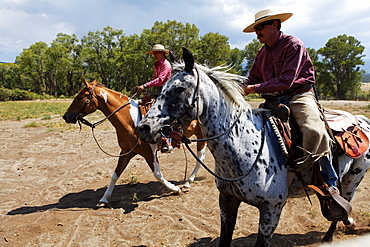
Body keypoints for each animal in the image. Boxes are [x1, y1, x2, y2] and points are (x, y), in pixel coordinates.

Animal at [61, 78, 205, 206]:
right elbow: (115, 174)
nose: (65, 116)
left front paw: (175, 189)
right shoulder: (126, 152)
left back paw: (187, 183)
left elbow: (157, 174)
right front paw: (104, 198)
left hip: (202, 136)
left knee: (200, 158)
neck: (131, 121)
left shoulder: (149, 153)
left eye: (80, 97)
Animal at [138, 47, 370, 246]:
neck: (243, 146)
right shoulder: (227, 200)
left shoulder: (271, 212)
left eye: (179, 88)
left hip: (353, 179)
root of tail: (361, 120)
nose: (144, 127)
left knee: (342, 203)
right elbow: (225, 238)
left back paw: (331, 234)